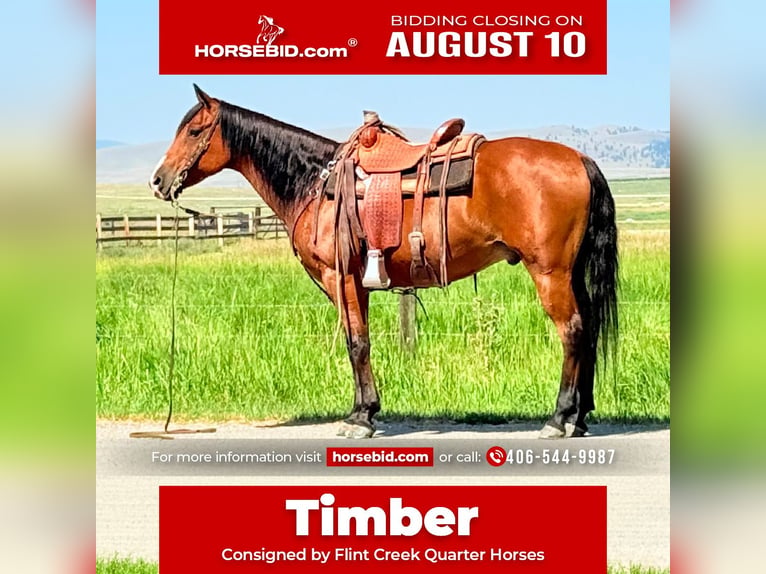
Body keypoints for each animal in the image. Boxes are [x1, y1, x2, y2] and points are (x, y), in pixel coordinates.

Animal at [149, 84, 619, 439]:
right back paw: (580, 417)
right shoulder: (359, 282)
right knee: (590, 327)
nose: (158, 180)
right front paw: (366, 410)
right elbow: (361, 341)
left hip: (550, 273)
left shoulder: (341, 277)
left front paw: (360, 418)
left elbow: (356, 343)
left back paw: (559, 418)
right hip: (570, 272)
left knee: (573, 331)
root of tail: (580, 160)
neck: (315, 182)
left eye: (195, 130)